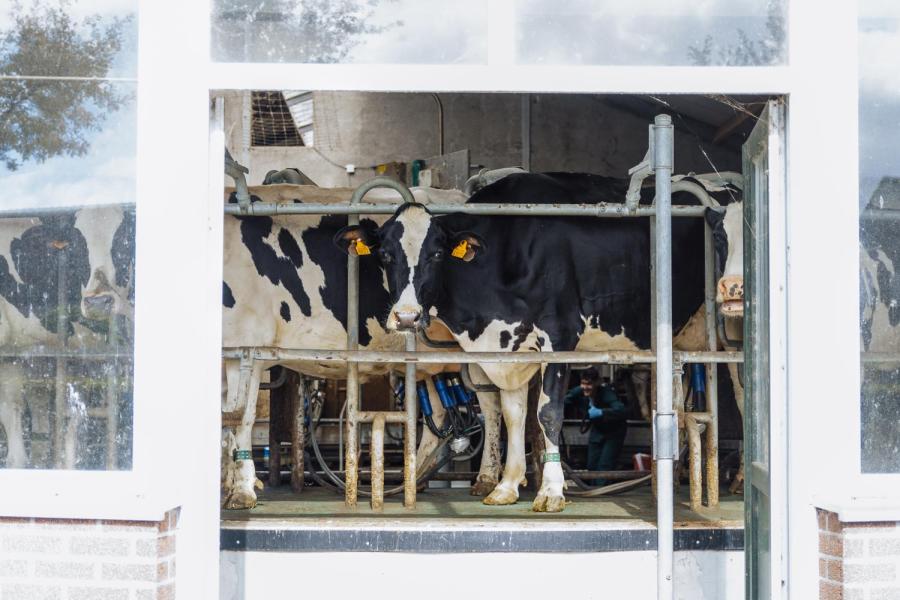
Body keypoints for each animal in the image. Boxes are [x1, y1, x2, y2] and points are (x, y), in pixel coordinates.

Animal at [216, 185, 500, 508]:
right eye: (384, 255)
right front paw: (226, 486)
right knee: (439, 414)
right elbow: (225, 421)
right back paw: (414, 479)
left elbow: (242, 418)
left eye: (438, 254)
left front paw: (242, 491)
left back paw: (487, 479)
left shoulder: (248, 348)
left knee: (491, 403)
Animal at [338, 172, 744, 510]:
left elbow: (547, 414)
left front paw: (550, 491)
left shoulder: (560, 335)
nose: (406, 316)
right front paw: (507, 485)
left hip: (731, 330)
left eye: (436, 254)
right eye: (385, 255)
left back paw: (736, 480)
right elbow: (514, 414)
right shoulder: (509, 348)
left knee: (741, 394)